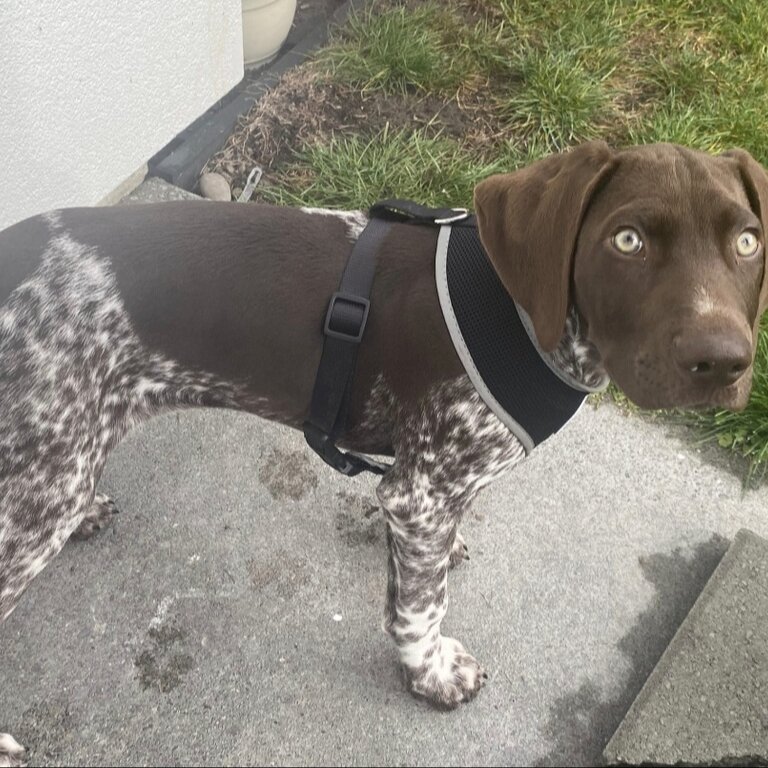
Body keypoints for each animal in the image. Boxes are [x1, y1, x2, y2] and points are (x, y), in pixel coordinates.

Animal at [1, 142, 768, 760]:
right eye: (627, 240)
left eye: (747, 243)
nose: (722, 364)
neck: (528, 318)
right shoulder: (421, 494)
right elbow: (421, 608)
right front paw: (430, 675)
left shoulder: (427, 492)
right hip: (41, 486)